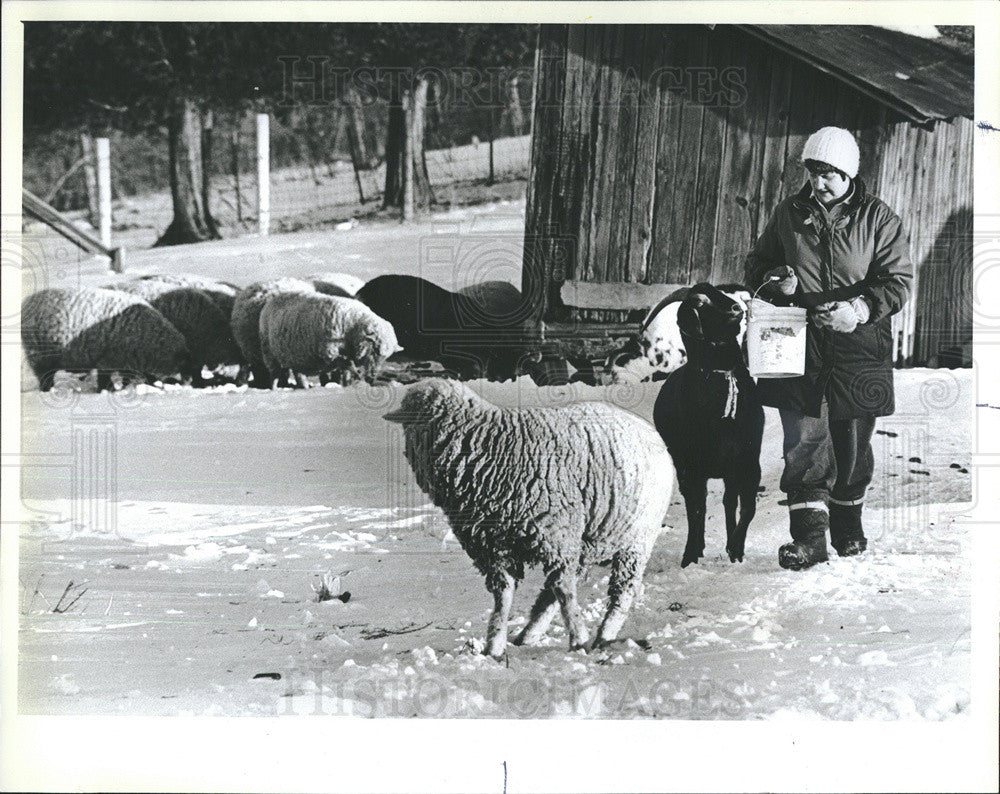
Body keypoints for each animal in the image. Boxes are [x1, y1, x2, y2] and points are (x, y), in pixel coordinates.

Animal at [20, 290, 189, 392]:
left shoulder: (126, 360)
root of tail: (26, 302)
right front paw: (108, 390)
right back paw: (47, 390)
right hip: (39, 354)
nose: (187, 384)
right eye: (184, 365)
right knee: (44, 375)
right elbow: (105, 378)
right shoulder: (108, 358)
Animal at [258, 292, 402, 388]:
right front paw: (356, 376)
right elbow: (348, 365)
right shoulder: (330, 352)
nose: (372, 377)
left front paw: (347, 384)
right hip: (270, 354)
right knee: (275, 375)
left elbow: (345, 371)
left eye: (385, 357)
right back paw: (275, 389)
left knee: (299, 375)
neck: (352, 327)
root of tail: (270, 301)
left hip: (297, 357)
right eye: (375, 350)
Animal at [380, 378, 672, 656]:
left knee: (620, 590)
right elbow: (504, 595)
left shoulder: (556, 534)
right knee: (553, 590)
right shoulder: (492, 546)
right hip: (588, 537)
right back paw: (529, 634)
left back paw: (603, 635)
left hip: (636, 538)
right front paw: (494, 646)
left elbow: (564, 591)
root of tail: (650, 430)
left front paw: (579, 639)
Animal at [652, 282, 760, 568]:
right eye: (700, 302)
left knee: (728, 501)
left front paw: (736, 548)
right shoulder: (689, 466)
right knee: (698, 505)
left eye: (722, 294)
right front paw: (690, 555)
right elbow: (696, 508)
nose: (736, 308)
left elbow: (747, 507)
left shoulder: (748, 460)